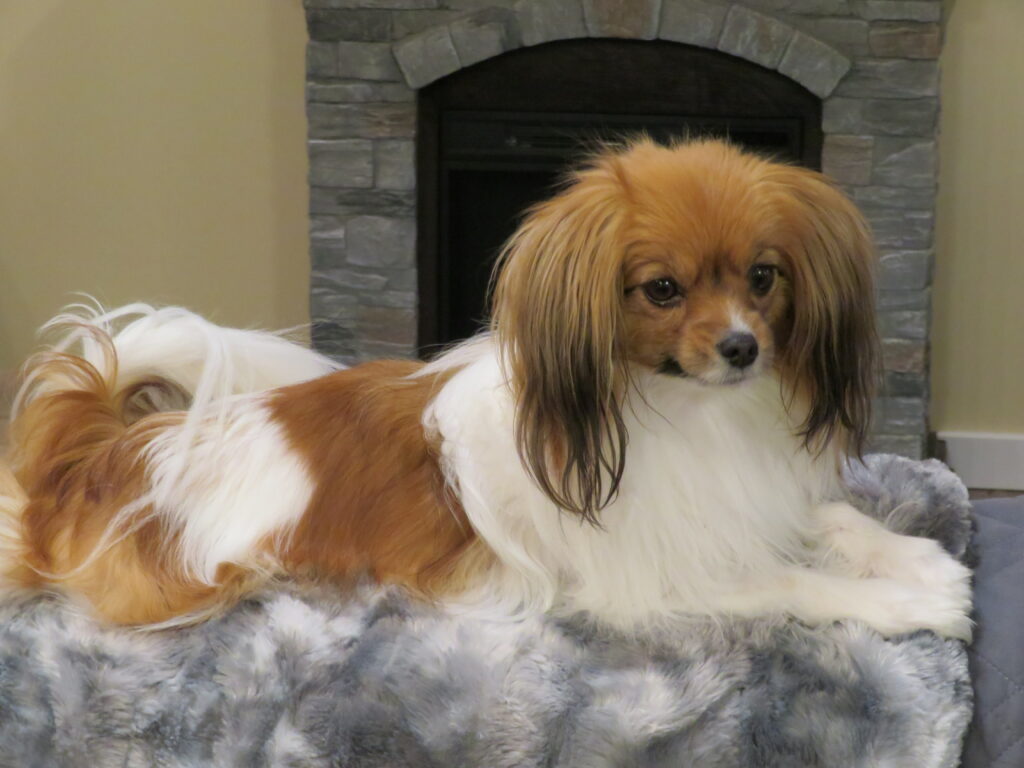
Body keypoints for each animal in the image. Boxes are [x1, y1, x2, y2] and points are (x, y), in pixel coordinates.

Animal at [0, 140, 974, 638]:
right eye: (663, 290)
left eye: (764, 277)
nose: (741, 347)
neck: (683, 415)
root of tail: (101, 450)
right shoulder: (656, 576)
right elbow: (791, 583)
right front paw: (905, 602)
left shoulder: (744, 502)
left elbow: (833, 519)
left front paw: (916, 559)